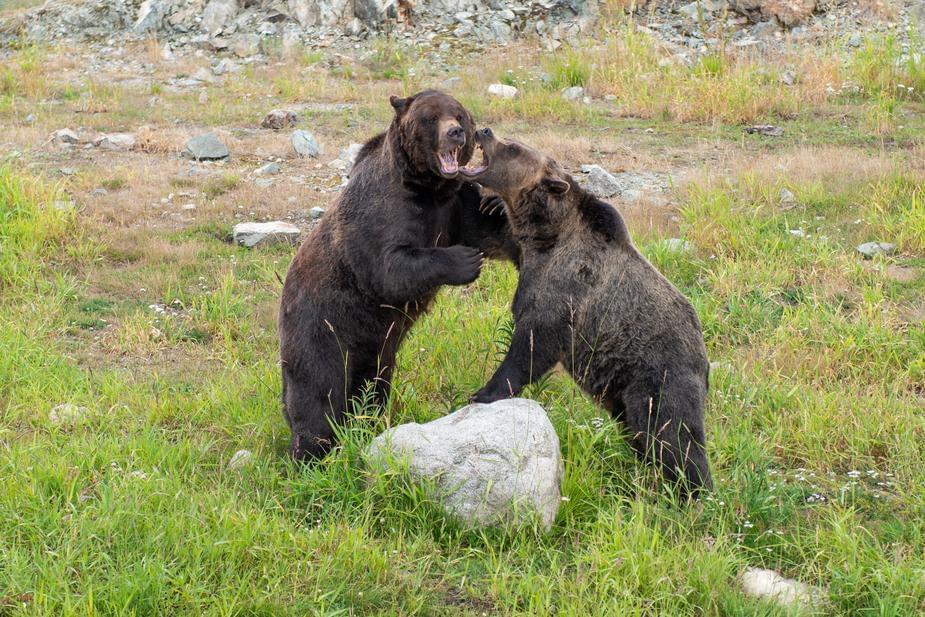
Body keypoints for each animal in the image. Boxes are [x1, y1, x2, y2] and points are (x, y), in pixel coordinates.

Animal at [278, 89, 516, 460]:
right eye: (431, 118)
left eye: (459, 115)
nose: (455, 133)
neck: (429, 188)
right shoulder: (383, 210)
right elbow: (388, 268)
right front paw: (465, 260)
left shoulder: (454, 206)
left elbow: (489, 228)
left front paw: (497, 206)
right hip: (321, 329)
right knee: (317, 393)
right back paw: (311, 453)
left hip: (377, 350)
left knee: (372, 387)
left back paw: (366, 424)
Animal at [470, 127, 716, 494]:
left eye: (513, 148)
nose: (484, 130)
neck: (549, 232)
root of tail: (704, 358)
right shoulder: (526, 251)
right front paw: (491, 203)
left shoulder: (566, 287)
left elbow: (533, 344)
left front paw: (484, 392)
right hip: (623, 392)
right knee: (640, 432)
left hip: (659, 377)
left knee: (672, 434)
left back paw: (694, 491)